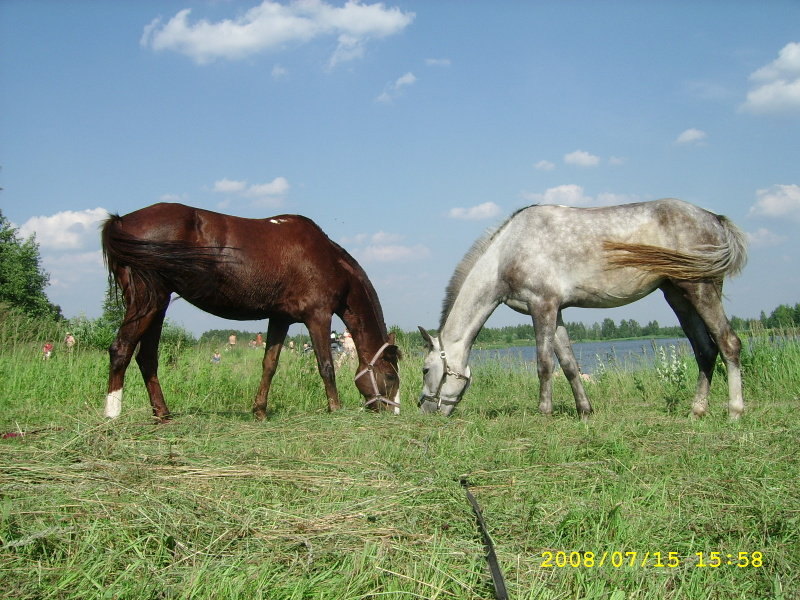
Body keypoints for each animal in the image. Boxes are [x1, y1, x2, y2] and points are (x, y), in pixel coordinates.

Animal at [101, 203, 400, 422]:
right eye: (391, 377)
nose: (393, 412)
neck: (327, 259)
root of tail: (121, 221)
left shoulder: (280, 318)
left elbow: (269, 365)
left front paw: (260, 411)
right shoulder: (318, 316)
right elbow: (326, 365)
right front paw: (335, 410)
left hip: (157, 305)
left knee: (146, 358)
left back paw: (162, 414)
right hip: (147, 302)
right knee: (121, 349)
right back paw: (112, 414)